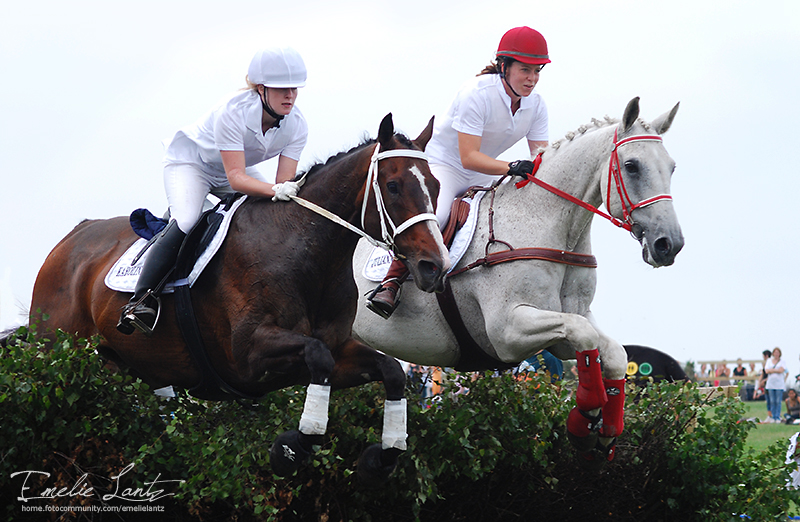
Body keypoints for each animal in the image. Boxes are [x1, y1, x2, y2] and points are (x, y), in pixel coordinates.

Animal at [23, 116, 450, 482]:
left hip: (125, 369)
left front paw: (384, 456)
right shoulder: (249, 355)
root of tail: (70, 240)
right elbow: (318, 359)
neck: (308, 254)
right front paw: (291, 449)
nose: (435, 266)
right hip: (59, 357)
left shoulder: (337, 348)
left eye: (436, 185)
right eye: (393, 186)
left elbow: (390, 371)